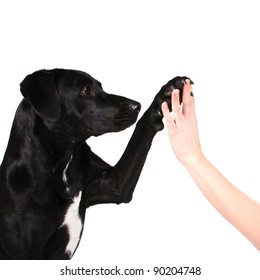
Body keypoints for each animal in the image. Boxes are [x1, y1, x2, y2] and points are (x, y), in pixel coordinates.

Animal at [0, 69, 191, 260]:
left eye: (100, 86)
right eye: (86, 90)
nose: (136, 106)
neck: (63, 166)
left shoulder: (113, 185)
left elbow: (140, 133)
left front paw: (167, 94)